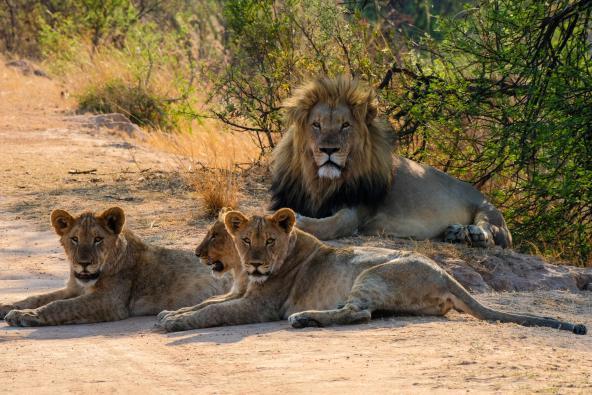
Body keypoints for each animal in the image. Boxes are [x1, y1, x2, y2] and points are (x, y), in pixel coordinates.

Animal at [0, 207, 231, 328]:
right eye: (74, 239)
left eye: (98, 239)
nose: (84, 263)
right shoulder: (73, 288)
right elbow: (38, 297)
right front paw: (9, 307)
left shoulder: (109, 302)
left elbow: (59, 306)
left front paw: (25, 316)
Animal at [157, 209, 588, 336]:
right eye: (246, 240)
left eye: (270, 242)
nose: (258, 262)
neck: (244, 276)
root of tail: (447, 274)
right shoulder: (237, 292)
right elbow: (206, 303)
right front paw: (170, 313)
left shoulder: (256, 306)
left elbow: (213, 311)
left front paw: (174, 323)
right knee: (362, 312)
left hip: (373, 274)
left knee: (359, 313)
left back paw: (304, 318)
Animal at [270, 75, 512, 248]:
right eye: (317, 125)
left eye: (345, 125)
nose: (329, 150)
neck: (321, 182)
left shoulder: (358, 211)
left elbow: (330, 226)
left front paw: (300, 221)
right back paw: (456, 232)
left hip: (487, 210)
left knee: (493, 233)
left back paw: (473, 234)